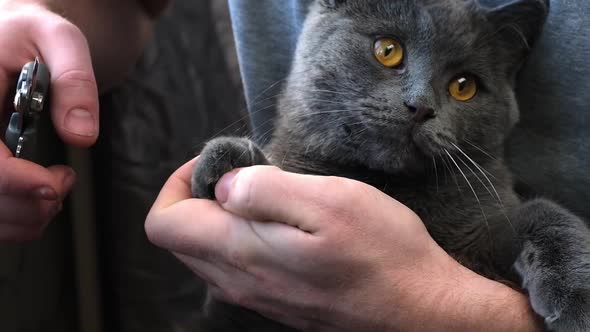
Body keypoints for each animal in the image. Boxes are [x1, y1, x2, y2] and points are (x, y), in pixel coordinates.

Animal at [192, 0, 588, 330]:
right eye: (388, 50)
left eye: (464, 86)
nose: (421, 106)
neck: (390, 186)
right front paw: (226, 158)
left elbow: (543, 212)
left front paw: (578, 301)